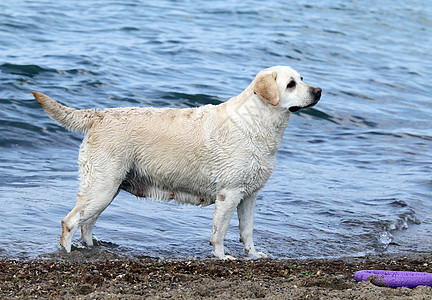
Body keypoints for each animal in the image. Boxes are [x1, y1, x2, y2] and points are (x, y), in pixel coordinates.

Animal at [32, 67, 318, 258]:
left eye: (302, 79)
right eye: (291, 84)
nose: (319, 91)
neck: (256, 121)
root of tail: (100, 115)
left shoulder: (249, 195)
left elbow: (247, 231)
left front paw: (254, 255)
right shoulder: (229, 193)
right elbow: (220, 232)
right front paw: (222, 256)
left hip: (108, 188)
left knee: (87, 223)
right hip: (103, 186)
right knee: (70, 222)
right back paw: (68, 253)